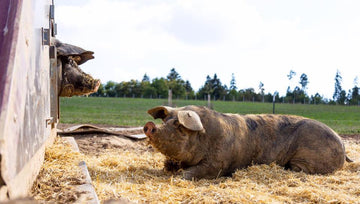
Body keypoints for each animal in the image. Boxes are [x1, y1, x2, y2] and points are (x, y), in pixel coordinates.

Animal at [143, 106, 352, 179]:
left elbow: (196, 172)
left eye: (178, 124)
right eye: (166, 119)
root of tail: (342, 144)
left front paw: (180, 176)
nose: (149, 125)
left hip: (306, 160)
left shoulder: (218, 164)